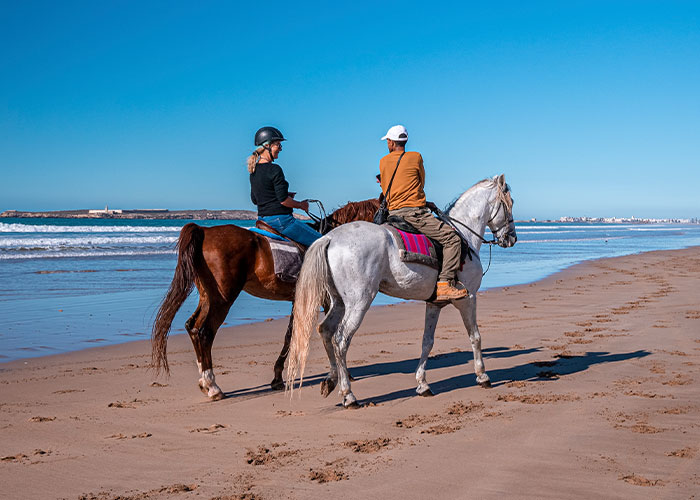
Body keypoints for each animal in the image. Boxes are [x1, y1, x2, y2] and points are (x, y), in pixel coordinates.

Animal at [151, 198, 380, 400]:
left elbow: (289, 335)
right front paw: (344, 374)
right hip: (222, 298)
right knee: (205, 332)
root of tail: (204, 231)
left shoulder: (298, 300)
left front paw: (277, 377)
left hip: (208, 296)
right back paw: (213, 386)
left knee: (192, 327)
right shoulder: (326, 300)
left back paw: (204, 382)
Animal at [286, 175, 517, 408]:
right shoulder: (468, 299)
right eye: (510, 203)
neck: (464, 235)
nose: (511, 238)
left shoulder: (434, 304)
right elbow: (475, 336)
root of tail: (330, 238)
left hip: (339, 302)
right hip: (359, 302)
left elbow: (427, 342)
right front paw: (482, 375)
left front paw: (422, 384)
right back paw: (348, 394)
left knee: (325, 330)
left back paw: (331, 380)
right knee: (341, 340)